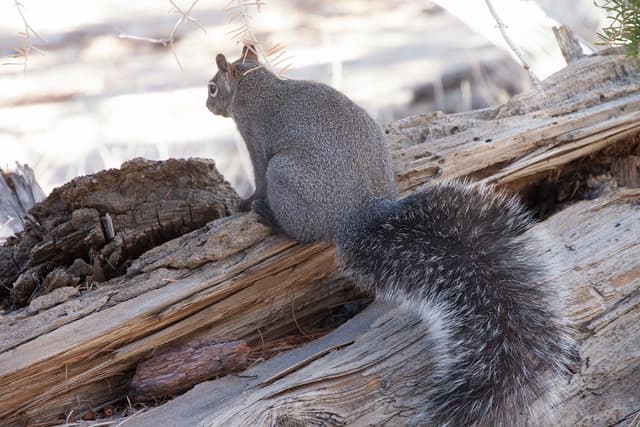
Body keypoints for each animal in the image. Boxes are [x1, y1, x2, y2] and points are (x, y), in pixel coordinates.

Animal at [206, 45, 578, 426]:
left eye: (212, 88)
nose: (207, 105)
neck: (256, 83)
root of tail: (358, 214)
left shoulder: (255, 139)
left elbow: (257, 176)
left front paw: (246, 202)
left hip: (284, 175)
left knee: (299, 230)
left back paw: (272, 219)